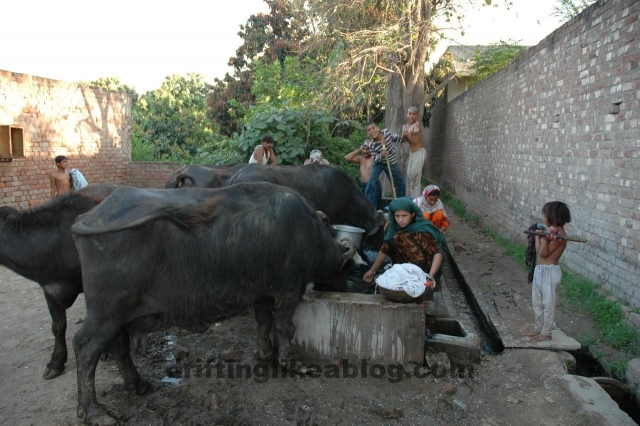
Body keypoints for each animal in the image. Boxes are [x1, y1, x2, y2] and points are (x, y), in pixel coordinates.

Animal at [71, 183, 356, 424]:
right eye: (346, 268)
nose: (344, 282)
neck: (309, 230)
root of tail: (87, 218)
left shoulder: (262, 293)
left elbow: (263, 322)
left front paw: (264, 352)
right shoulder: (289, 290)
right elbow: (286, 328)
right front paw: (292, 363)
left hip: (117, 314)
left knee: (118, 344)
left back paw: (139, 384)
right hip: (107, 312)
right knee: (85, 348)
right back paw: (94, 411)